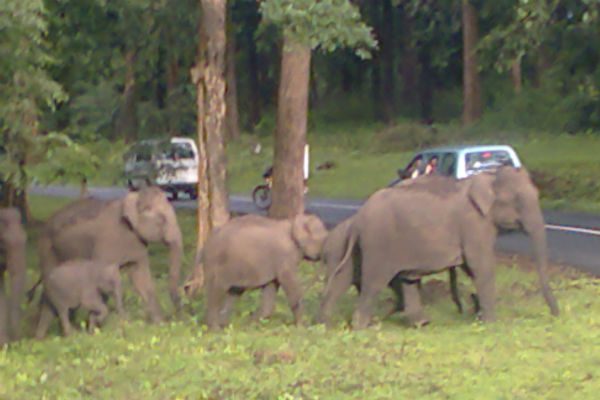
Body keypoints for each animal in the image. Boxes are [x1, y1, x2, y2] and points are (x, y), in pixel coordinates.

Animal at [32, 187, 183, 322]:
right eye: (162, 219)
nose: (174, 314)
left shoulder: (137, 244)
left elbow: (141, 277)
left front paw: (158, 323)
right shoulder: (105, 245)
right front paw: (104, 327)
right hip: (46, 248)